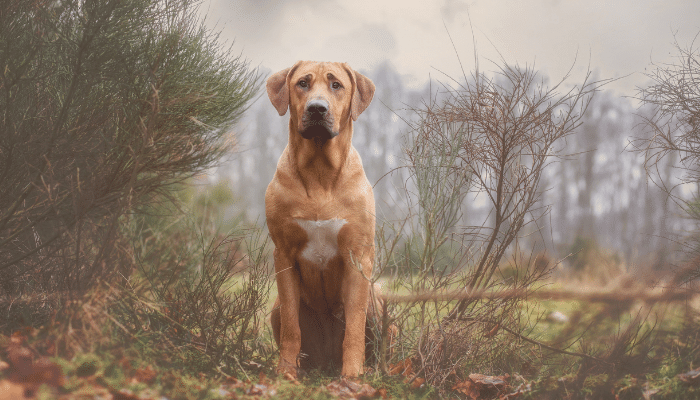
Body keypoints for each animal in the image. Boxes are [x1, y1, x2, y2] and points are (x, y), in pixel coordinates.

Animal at [266, 60, 378, 378]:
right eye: (302, 83)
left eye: (336, 85)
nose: (317, 108)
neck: (319, 173)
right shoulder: (284, 255)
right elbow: (292, 327)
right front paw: (286, 372)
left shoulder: (358, 256)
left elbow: (354, 328)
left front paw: (352, 375)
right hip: (275, 308)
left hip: (378, 298)